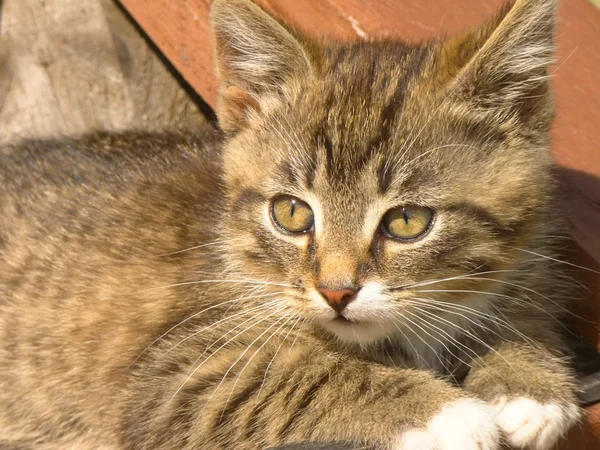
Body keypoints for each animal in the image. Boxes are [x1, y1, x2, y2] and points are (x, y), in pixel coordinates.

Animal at [0, 0, 580, 448]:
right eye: (292, 213)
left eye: (408, 221)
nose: (336, 292)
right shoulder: (174, 377)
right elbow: (295, 376)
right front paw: (448, 414)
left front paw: (525, 379)